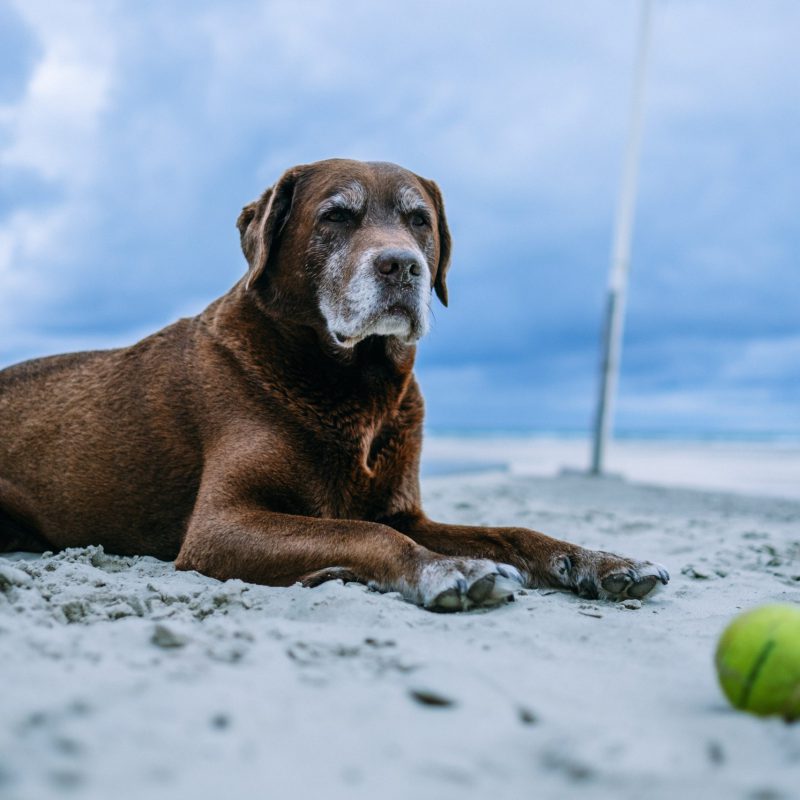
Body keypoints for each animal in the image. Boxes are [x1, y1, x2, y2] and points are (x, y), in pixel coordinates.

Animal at [0, 158, 668, 612]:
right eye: (336, 217)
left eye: (419, 221)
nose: (402, 265)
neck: (357, 388)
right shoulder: (220, 525)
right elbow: (359, 529)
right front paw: (443, 569)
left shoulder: (406, 509)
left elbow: (510, 531)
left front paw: (600, 560)